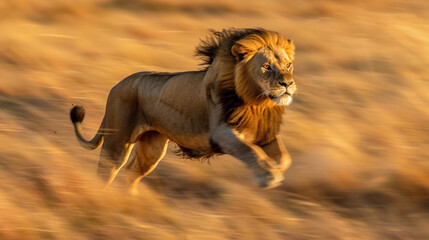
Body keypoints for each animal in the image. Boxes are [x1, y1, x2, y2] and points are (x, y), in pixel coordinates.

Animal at [70, 28, 296, 193]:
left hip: (152, 149)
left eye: (288, 65)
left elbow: (285, 158)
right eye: (266, 67)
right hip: (117, 143)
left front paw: (276, 169)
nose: (287, 84)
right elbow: (250, 151)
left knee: (130, 175)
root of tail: (116, 86)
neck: (258, 103)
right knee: (106, 173)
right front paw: (266, 176)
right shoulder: (222, 132)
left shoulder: (265, 134)